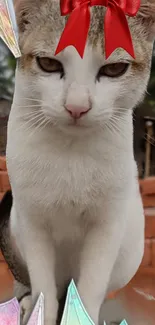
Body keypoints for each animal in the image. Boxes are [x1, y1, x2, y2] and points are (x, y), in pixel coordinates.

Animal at [4, 0, 154, 322]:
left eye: (114, 69)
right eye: (49, 64)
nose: (77, 107)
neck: (70, 153)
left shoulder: (107, 225)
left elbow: (91, 288)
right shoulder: (32, 221)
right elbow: (43, 285)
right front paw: (42, 313)